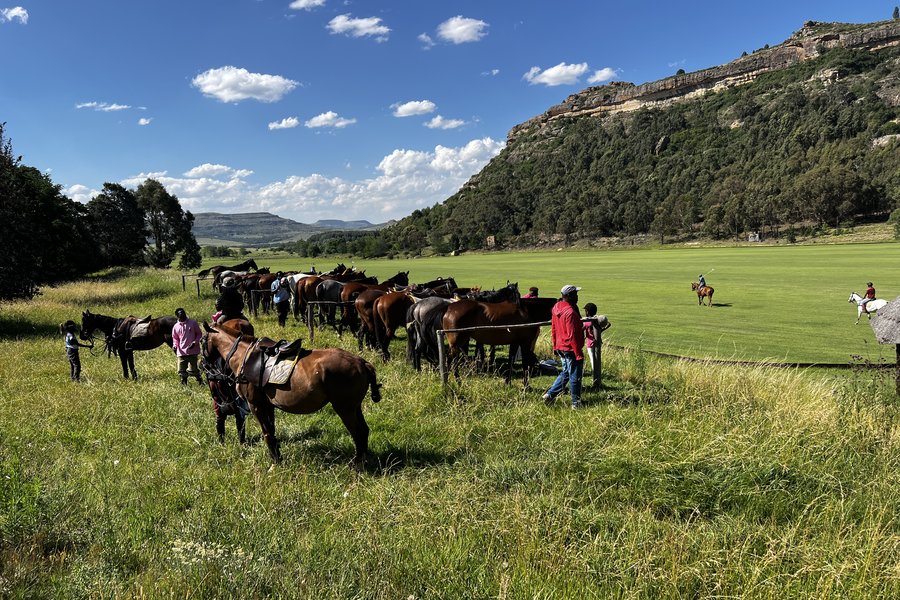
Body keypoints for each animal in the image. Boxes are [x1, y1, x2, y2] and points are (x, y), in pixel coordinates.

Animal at [200, 322, 382, 465]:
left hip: (345, 409)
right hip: (355, 407)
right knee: (364, 430)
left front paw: (275, 463)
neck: (243, 355)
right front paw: (278, 458)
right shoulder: (268, 405)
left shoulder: (255, 405)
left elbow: (267, 433)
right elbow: (272, 432)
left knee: (358, 433)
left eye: (201, 341)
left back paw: (357, 464)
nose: (203, 364)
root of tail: (362, 363)